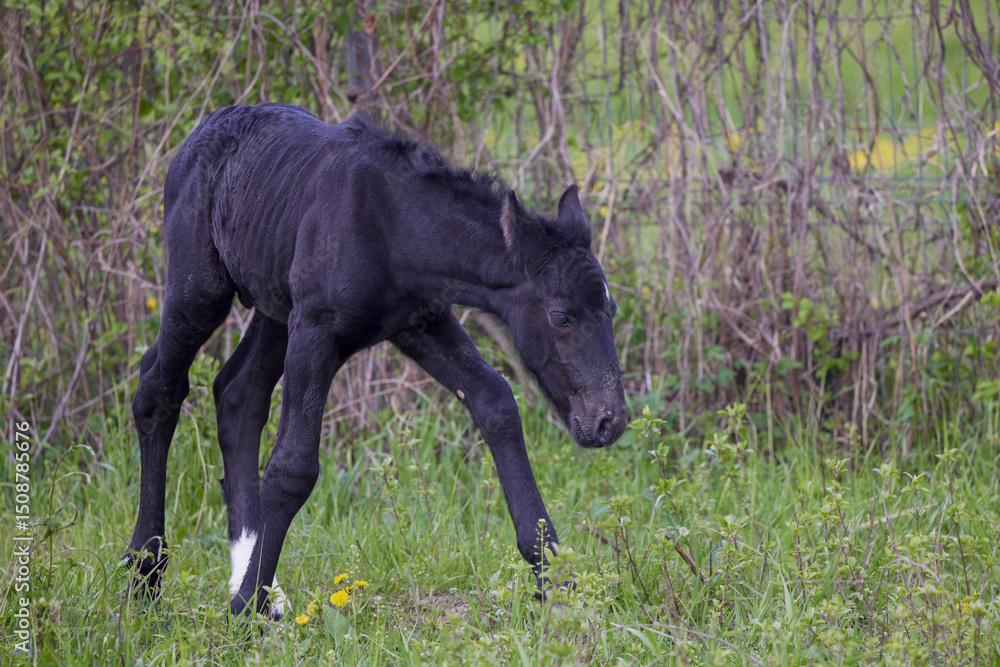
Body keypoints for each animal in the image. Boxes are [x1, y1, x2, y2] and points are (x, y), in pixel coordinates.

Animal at [123, 103, 628, 619]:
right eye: (561, 316)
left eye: (610, 309)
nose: (609, 420)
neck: (395, 228)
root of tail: (201, 132)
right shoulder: (317, 329)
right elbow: (292, 467)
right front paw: (245, 605)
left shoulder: (421, 321)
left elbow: (496, 402)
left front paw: (557, 582)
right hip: (200, 289)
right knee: (157, 390)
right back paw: (147, 575)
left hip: (275, 309)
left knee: (237, 394)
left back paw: (266, 592)